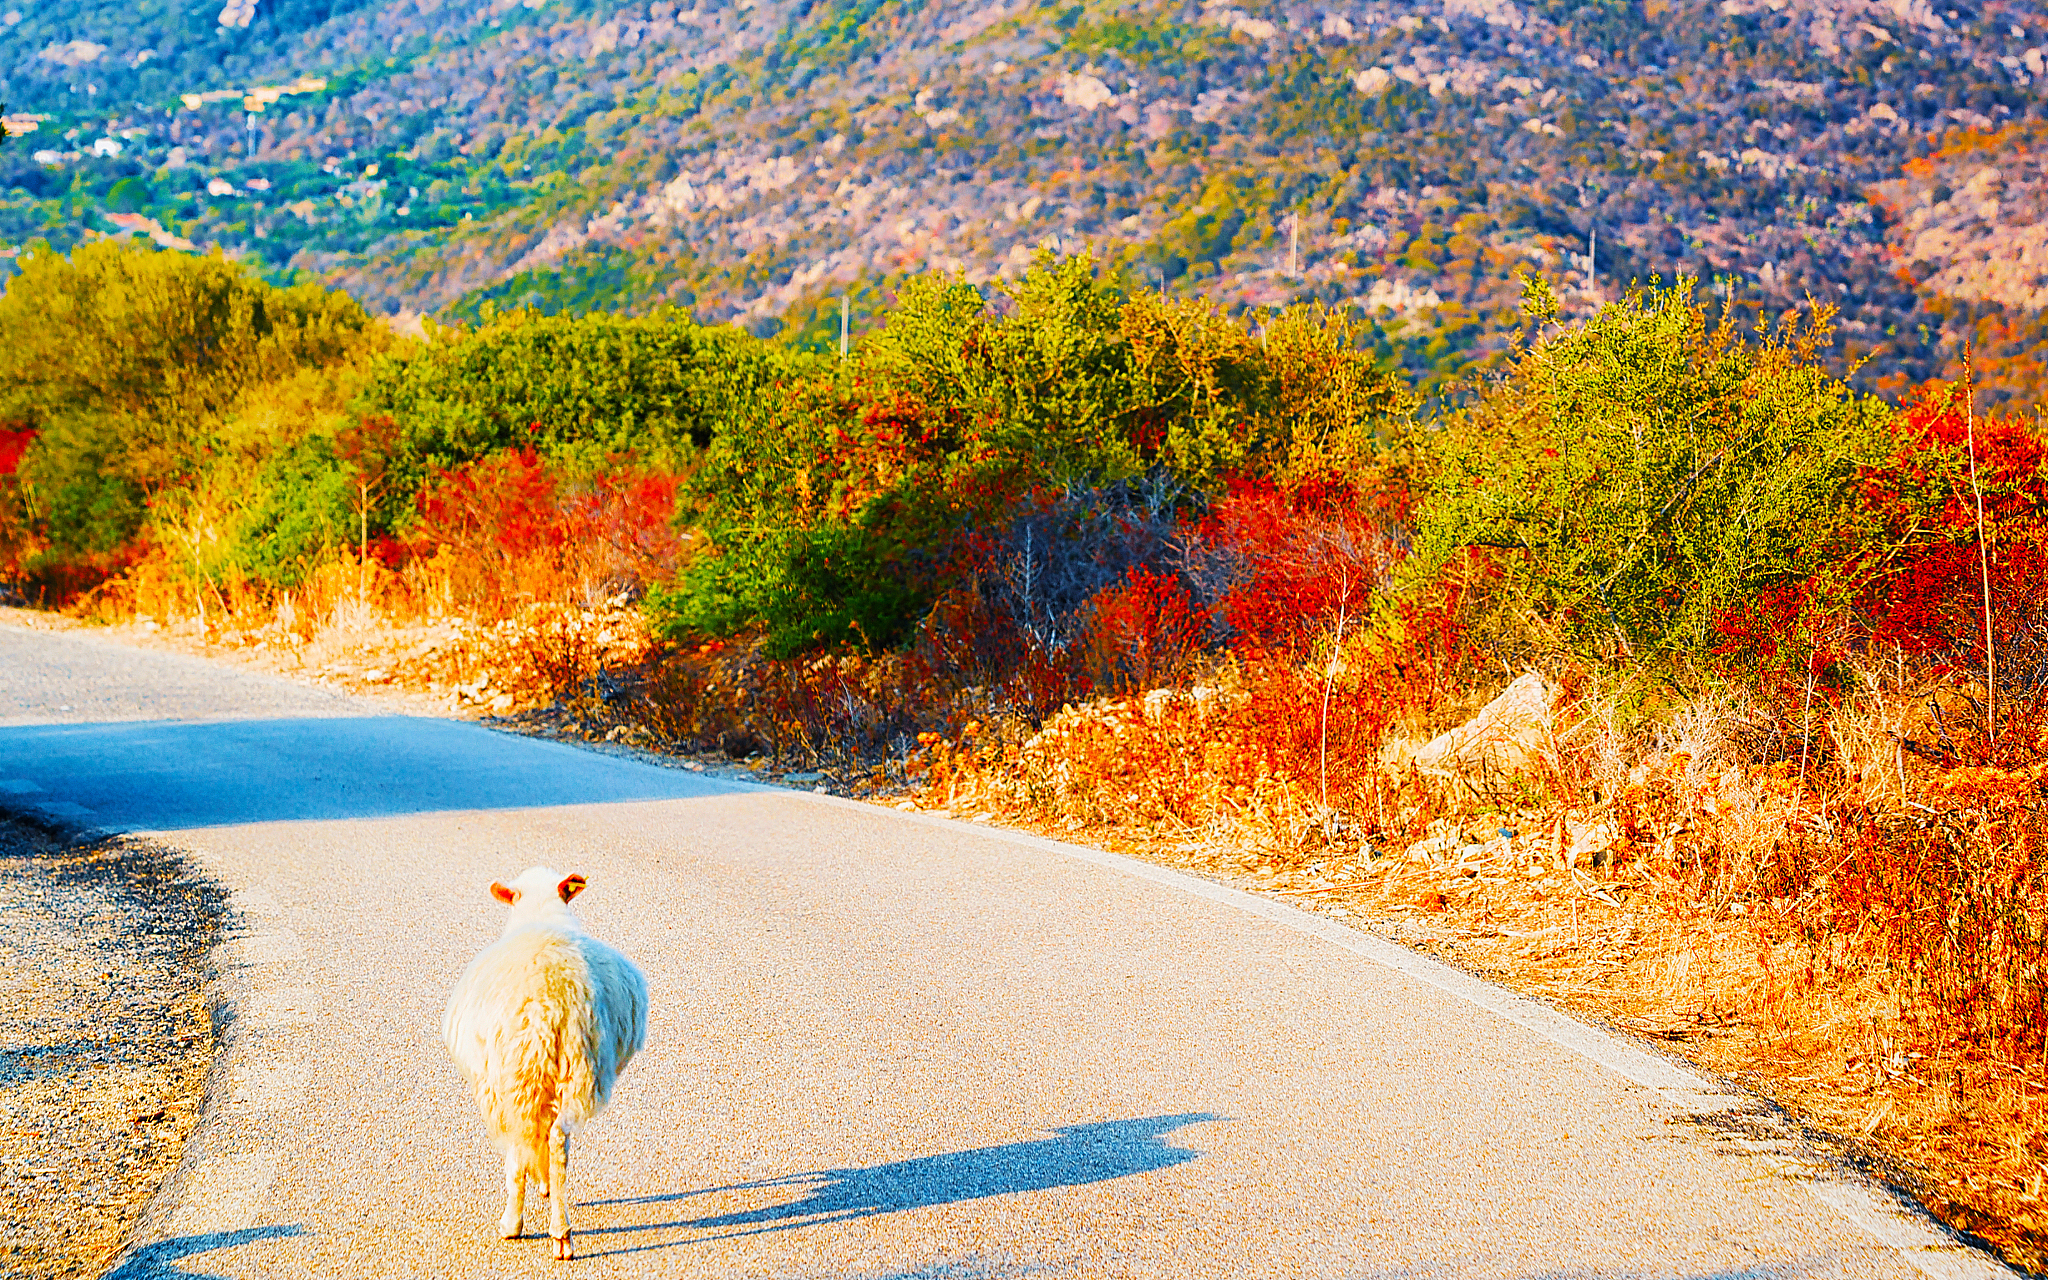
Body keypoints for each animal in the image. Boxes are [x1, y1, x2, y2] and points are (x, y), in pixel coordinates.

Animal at [443, 866, 648, 1261]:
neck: (540, 916)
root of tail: (544, 1001)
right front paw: (544, 1184)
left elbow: (521, 1148)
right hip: (577, 1070)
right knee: (557, 1143)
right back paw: (561, 1232)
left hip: (510, 1080)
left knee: (523, 1141)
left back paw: (516, 1224)